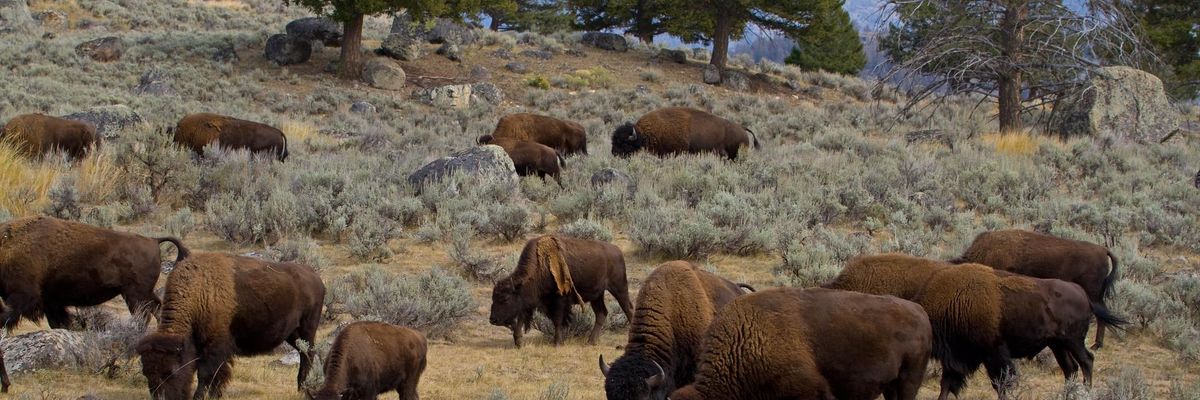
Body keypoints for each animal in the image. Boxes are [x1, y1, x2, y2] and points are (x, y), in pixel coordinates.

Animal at [0, 216, 187, 330]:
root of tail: (153, 241)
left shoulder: (23, 295)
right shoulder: (51, 302)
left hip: (134, 295)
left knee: (144, 314)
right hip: (141, 293)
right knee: (157, 308)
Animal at [137, 252, 324, 400]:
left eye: (172, 372)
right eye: (146, 372)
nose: (161, 397)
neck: (199, 292)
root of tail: (315, 278)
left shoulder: (215, 347)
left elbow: (207, 374)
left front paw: (202, 397)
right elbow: (214, 375)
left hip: (307, 329)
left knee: (308, 354)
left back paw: (303, 388)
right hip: (293, 335)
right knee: (304, 353)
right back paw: (301, 388)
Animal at [489, 235, 634, 347]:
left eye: (505, 299)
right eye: (493, 298)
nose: (492, 320)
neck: (540, 266)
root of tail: (617, 251)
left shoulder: (559, 300)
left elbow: (557, 320)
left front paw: (557, 342)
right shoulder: (528, 303)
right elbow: (521, 319)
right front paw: (518, 342)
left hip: (619, 288)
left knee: (628, 309)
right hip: (597, 295)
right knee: (601, 313)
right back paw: (590, 342)